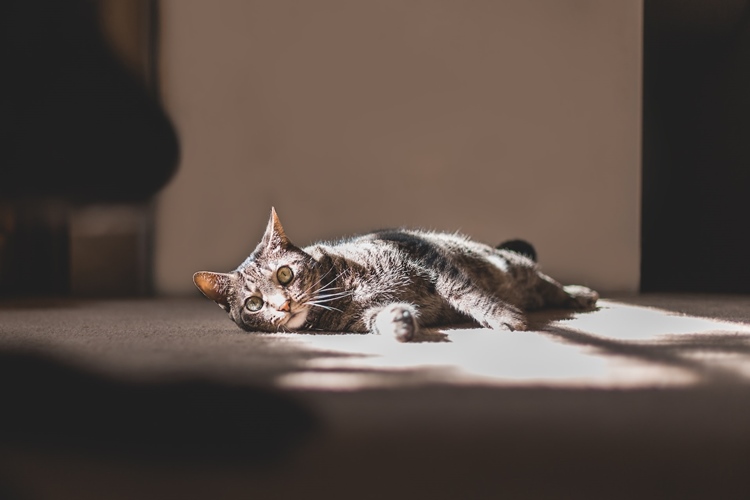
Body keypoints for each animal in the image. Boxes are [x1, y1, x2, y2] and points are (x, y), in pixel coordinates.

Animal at [194, 209, 600, 342]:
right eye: (254, 304)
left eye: (283, 275)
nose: (283, 305)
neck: (342, 291)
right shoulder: (364, 318)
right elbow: (384, 316)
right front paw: (400, 323)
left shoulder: (430, 263)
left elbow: (468, 295)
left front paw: (502, 317)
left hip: (515, 271)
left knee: (548, 285)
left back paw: (581, 294)